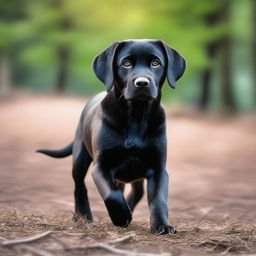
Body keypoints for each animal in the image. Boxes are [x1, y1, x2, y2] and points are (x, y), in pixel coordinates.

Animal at [37, 39, 186, 234]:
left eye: (155, 63)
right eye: (126, 63)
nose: (142, 83)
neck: (136, 115)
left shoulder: (158, 167)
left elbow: (158, 199)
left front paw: (162, 225)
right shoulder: (101, 166)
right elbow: (111, 194)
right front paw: (121, 217)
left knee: (136, 191)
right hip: (80, 157)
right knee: (80, 186)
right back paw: (83, 216)